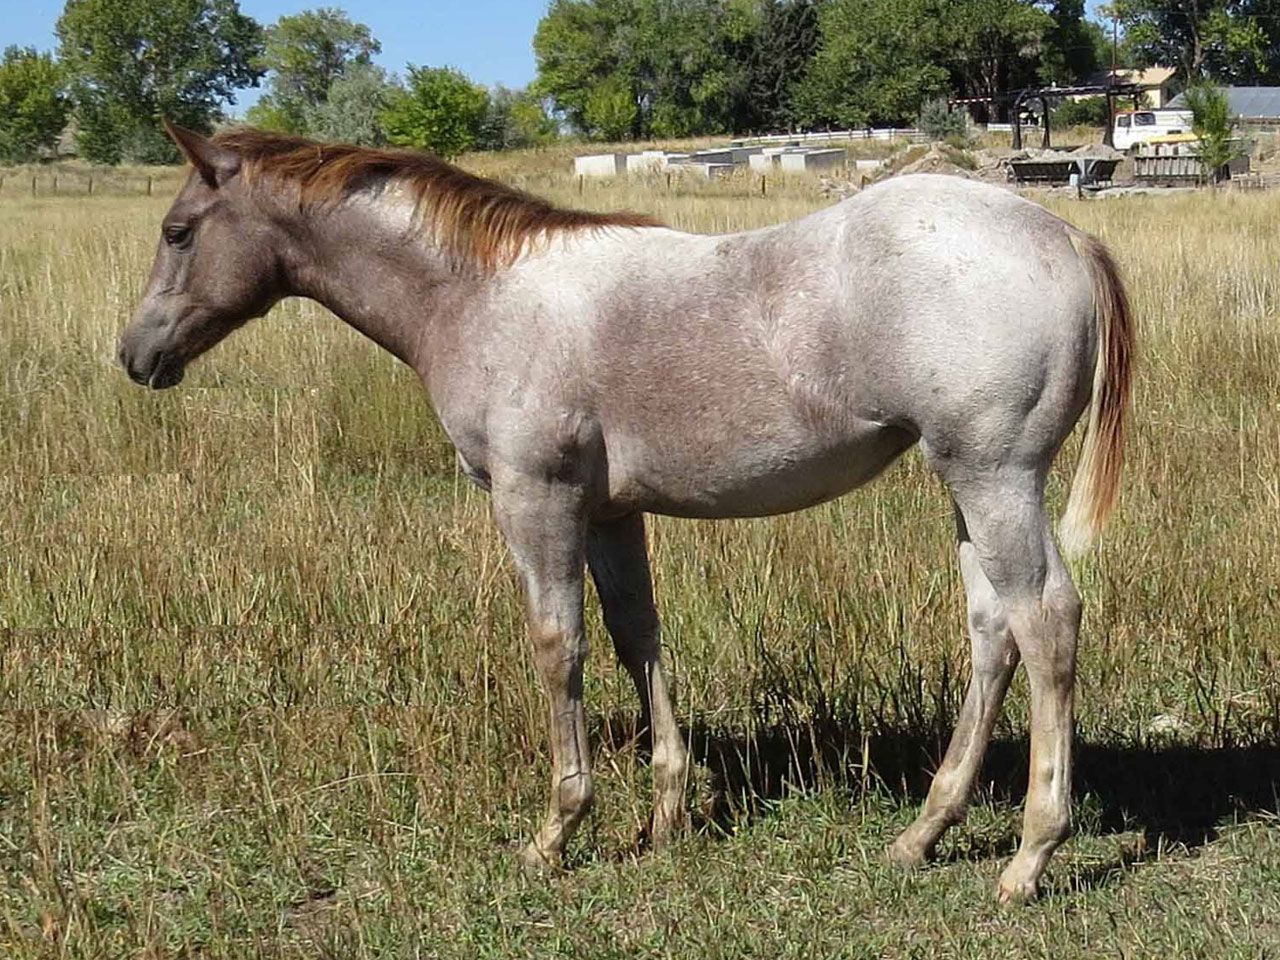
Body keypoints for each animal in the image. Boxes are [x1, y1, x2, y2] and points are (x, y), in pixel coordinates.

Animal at [118, 122, 1133, 902]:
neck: (479, 295)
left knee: (1046, 622)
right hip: (965, 485)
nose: (135, 353)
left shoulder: (537, 498)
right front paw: (666, 814)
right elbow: (633, 632)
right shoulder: (609, 512)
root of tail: (1059, 232)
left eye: (178, 231)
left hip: (995, 477)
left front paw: (556, 832)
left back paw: (1029, 858)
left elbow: (556, 645)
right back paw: (923, 833)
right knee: (992, 633)